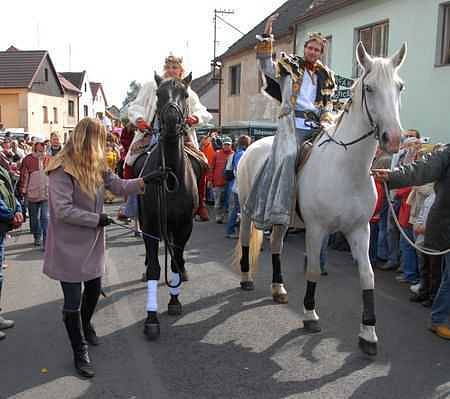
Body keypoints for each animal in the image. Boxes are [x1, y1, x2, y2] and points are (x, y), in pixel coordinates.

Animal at [234, 43, 406, 356]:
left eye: (399, 86)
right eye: (370, 88)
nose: (395, 139)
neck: (345, 168)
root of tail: (252, 146)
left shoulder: (359, 230)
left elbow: (368, 276)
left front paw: (368, 333)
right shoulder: (316, 229)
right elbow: (313, 270)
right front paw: (310, 314)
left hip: (282, 218)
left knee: (276, 246)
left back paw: (278, 288)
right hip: (247, 209)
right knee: (244, 239)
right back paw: (246, 279)